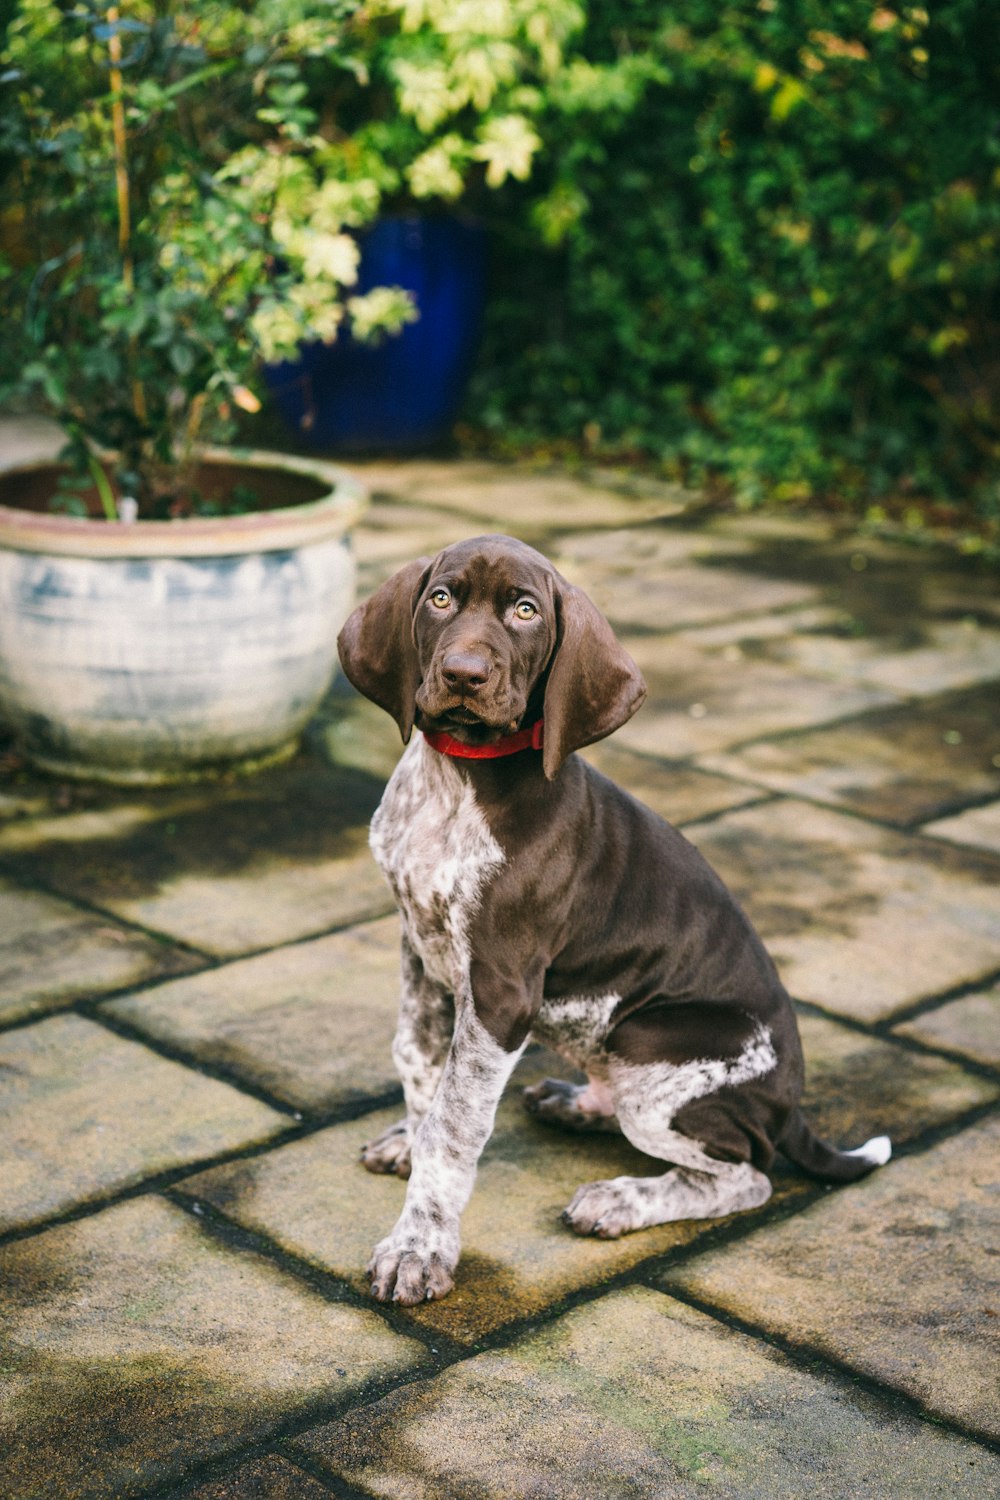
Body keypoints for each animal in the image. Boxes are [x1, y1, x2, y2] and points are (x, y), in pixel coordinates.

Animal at [338, 537, 893, 1302]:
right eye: (441, 599)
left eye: (525, 611)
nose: (463, 674)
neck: (458, 782)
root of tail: (793, 1108)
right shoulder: (419, 949)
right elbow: (419, 1064)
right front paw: (409, 1144)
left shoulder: (502, 991)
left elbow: (456, 1121)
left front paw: (420, 1245)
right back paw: (575, 1102)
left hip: (650, 1045)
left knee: (746, 1175)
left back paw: (622, 1199)